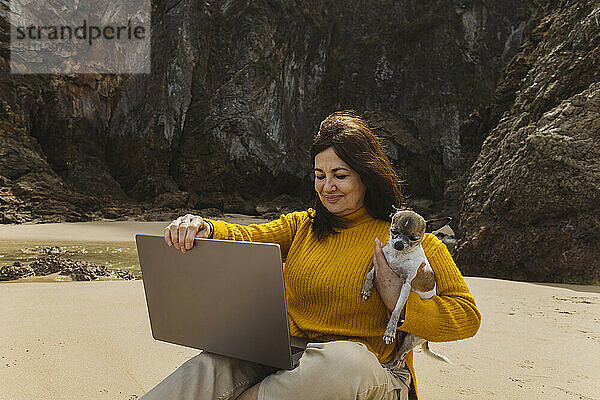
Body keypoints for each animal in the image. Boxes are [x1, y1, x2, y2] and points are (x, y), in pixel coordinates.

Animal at [358, 208, 452, 368]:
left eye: (414, 238)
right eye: (393, 231)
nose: (399, 244)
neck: (398, 256)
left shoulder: (406, 285)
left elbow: (396, 310)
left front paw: (389, 331)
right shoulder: (380, 264)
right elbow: (370, 274)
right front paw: (366, 289)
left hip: (410, 340)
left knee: (400, 357)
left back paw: (389, 365)